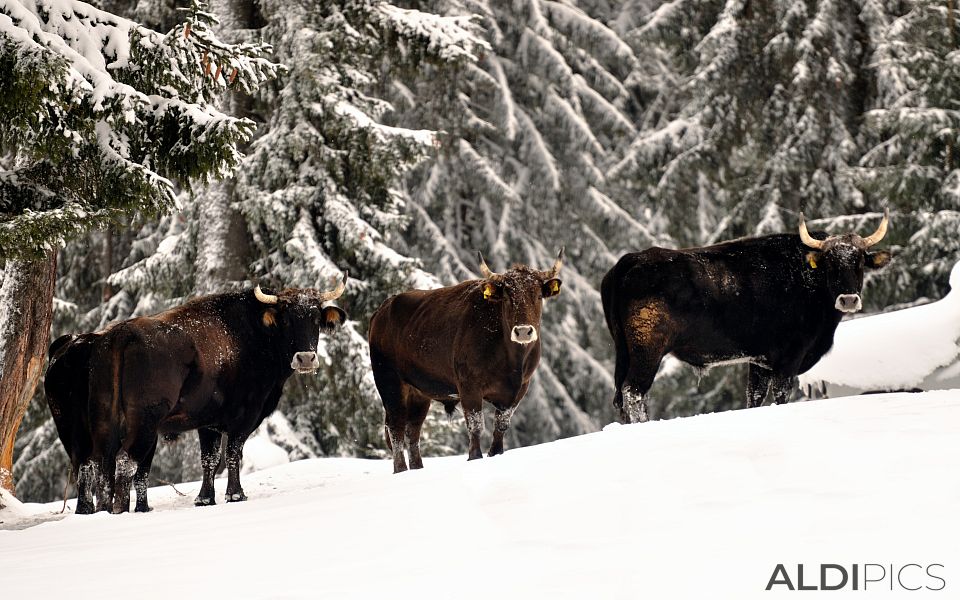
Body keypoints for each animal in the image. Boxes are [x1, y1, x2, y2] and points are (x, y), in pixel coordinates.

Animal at [46, 278, 344, 516]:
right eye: (287, 319)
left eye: (315, 318)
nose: (306, 358)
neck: (254, 333)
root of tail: (119, 335)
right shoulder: (243, 418)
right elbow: (233, 454)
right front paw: (236, 495)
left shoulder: (208, 424)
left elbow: (209, 460)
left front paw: (204, 499)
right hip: (143, 424)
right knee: (124, 463)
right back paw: (120, 510)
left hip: (91, 429)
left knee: (94, 465)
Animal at [368, 250, 564, 474]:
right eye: (507, 297)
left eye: (538, 295)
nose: (523, 331)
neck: (511, 359)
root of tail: (382, 311)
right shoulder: (469, 387)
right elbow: (476, 424)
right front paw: (474, 456)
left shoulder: (518, 390)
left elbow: (501, 426)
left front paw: (496, 453)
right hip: (390, 384)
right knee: (396, 427)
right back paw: (400, 469)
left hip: (418, 393)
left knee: (412, 431)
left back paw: (418, 467)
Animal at [600, 213, 892, 424]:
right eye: (831, 263)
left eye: (860, 261)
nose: (848, 299)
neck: (806, 275)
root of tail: (628, 261)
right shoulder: (787, 360)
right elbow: (780, 395)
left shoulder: (760, 362)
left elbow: (754, 397)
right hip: (647, 352)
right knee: (634, 392)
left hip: (625, 352)